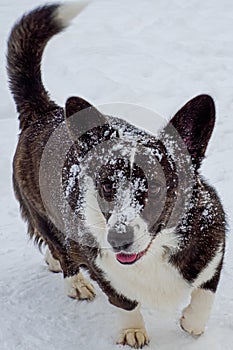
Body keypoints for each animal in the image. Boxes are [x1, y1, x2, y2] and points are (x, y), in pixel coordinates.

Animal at [7, 2, 226, 348]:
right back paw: (74, 280)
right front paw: (132, 331)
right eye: (107, 186)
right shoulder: (102, 268)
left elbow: (205, 294)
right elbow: (123, 300)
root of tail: (44, 111)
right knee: (58, 245)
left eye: (156, 186)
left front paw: (191, 323)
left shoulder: (215, 251)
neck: (152, 255)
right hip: (40, 209)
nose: (118, 239)